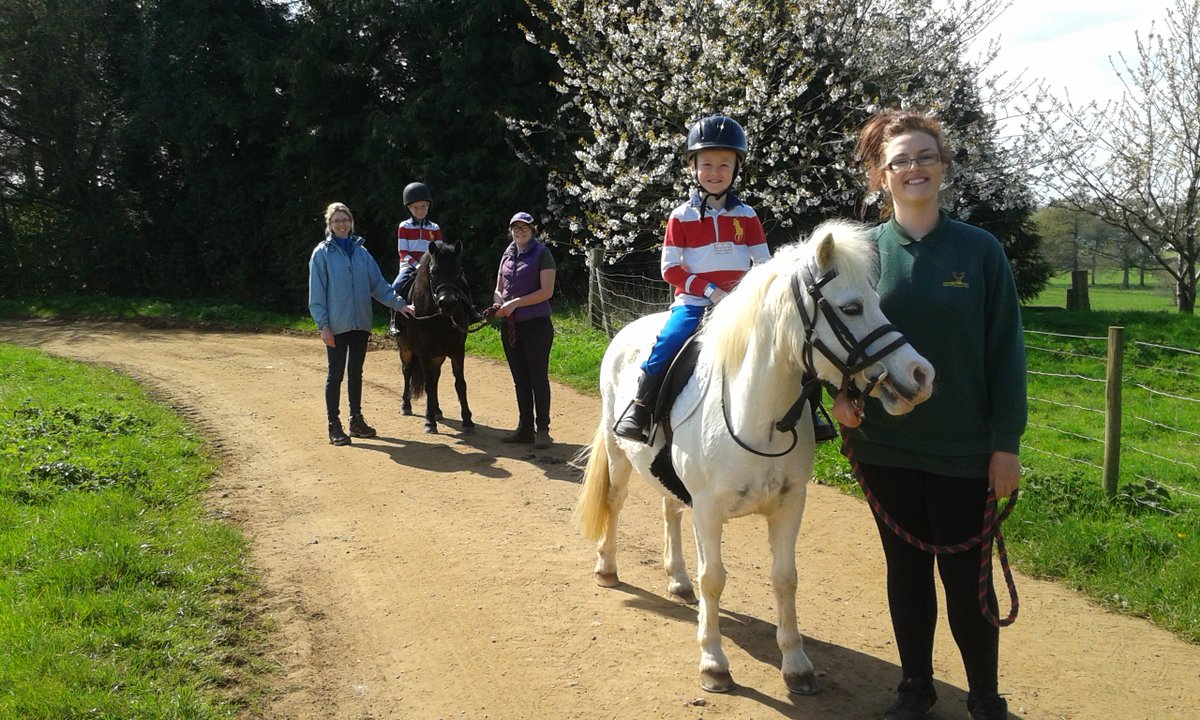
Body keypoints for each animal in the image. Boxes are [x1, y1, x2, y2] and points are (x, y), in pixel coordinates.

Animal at [398, 240, 477, 432]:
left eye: (459, 271)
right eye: (433, 272)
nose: (447, 302)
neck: (441, 318)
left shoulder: (457, 350)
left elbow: (460, 384)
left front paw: (467, 421)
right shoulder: (425, 352)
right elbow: (428, 385)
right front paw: (429, 421)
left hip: (438, 356)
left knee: (435, 379)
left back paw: (437, 410)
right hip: (405, 350)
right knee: (407, 372)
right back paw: (406, 405)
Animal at [578, 218, 936, 691]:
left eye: (877, 302)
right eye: (852, 307)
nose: (920, 374)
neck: (757, 415)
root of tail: (625, 333)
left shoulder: (790, 504)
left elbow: (785, 579)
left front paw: (797, 664)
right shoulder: (709, 509)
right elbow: (713, 579)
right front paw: (713, 661)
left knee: (670, 511)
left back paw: (678, 580)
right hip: (619, 455)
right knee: (615, 503)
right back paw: (607, 567)